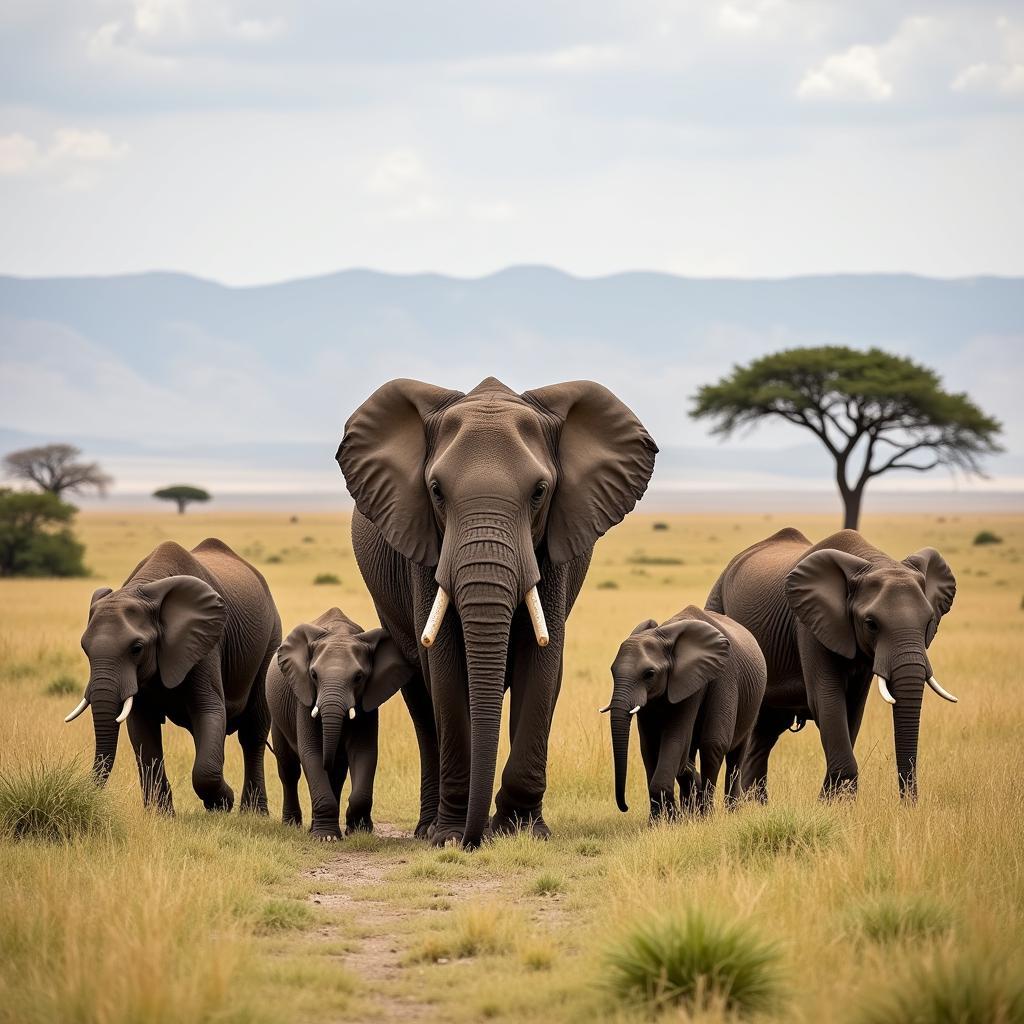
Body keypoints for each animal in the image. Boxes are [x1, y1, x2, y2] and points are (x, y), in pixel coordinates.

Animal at [266, 606, 413, 839]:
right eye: (314, 675)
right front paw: (326, 837)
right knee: (289, 769)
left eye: (359, 677)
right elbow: (312, 752)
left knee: (337, 774)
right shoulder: (304, 698)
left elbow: (364, 752)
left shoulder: (368, 702)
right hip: (277, 715)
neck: (340, 633)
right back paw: (292, 825)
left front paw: (359, 831)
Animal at [335, 376, 655, 847]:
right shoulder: (424, 549)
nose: (473, 838)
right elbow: (445, 668)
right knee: (421, 697)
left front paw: (522, 830)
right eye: (436, 491)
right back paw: (428, 828)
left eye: (539, 492)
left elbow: (541, 663)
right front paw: (449, 837)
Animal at [602, 602, 765, 819]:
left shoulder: (692, 682)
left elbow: (675, 737)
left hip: (751, 701)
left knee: (722, 749)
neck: (664, 635)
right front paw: (660, 820)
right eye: (613, 671)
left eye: (649, 674)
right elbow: (649, 744)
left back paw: (717, 813)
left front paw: (671, 819)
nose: (625, 807)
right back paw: (692, 810)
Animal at [708, 532, 954, 802]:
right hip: (717, 603)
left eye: (929, 622)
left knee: (766, 732)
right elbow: (827, 700)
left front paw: (831, 802)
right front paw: (836, 803)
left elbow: (853, 708)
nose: (908, 804)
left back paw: (757, 804)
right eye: (871, 624)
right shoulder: (809, 626)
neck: (873, 562)